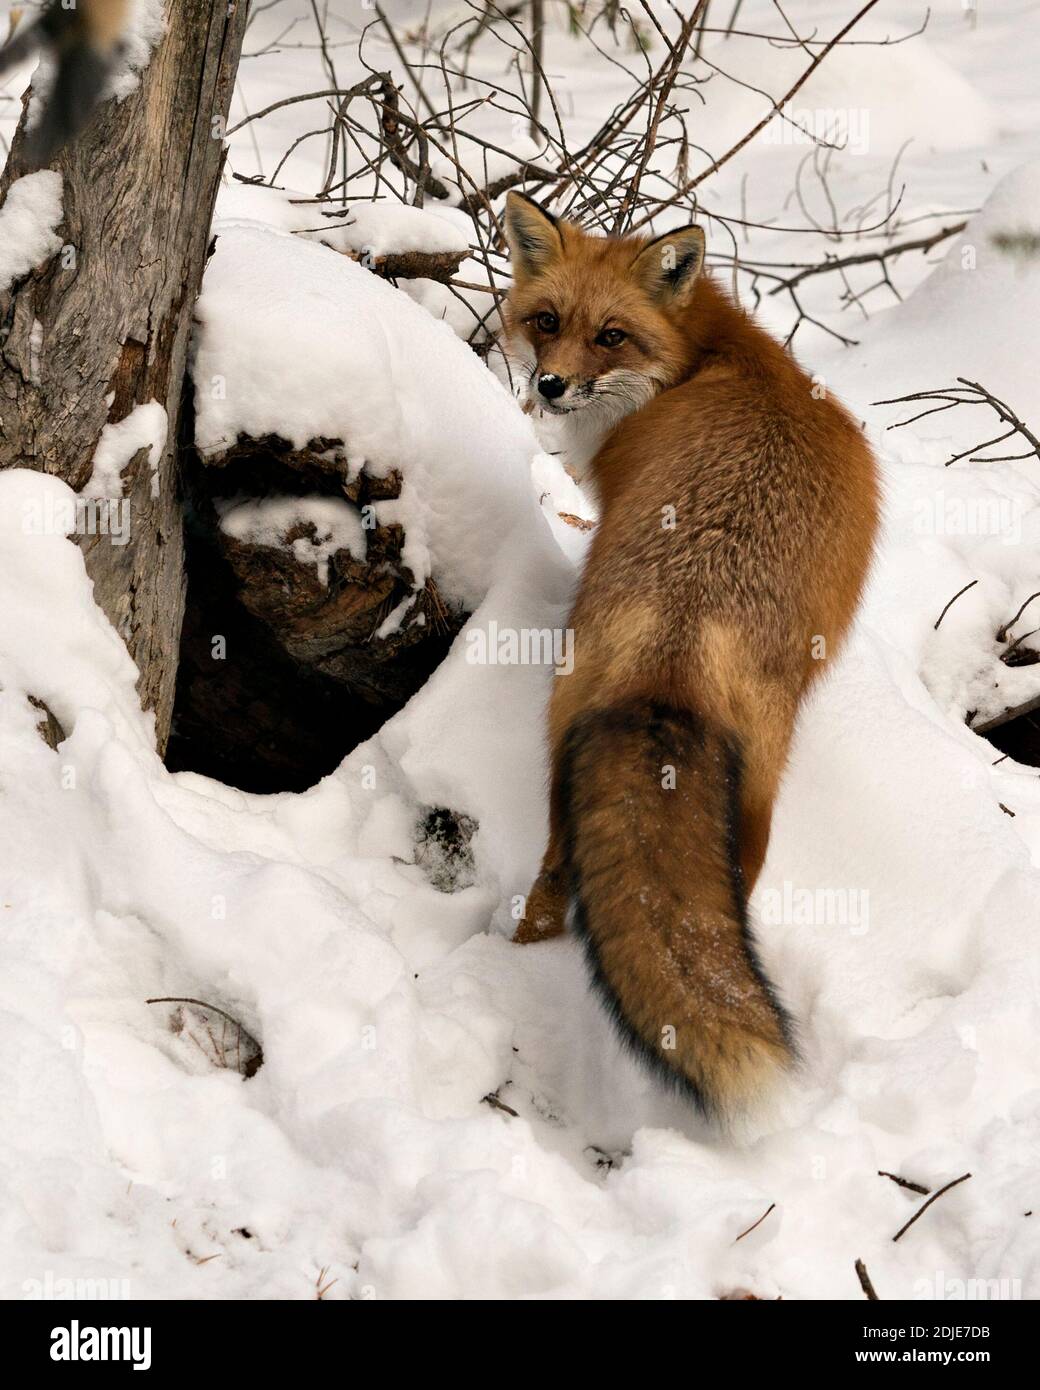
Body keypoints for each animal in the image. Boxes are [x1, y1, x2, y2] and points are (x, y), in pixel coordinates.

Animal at [503, 191, 879, 1124]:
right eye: (547, 320)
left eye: (611, 336)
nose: (550, 385)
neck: (712, 354)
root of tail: (679, 644)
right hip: (753, 800)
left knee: (555, 882)